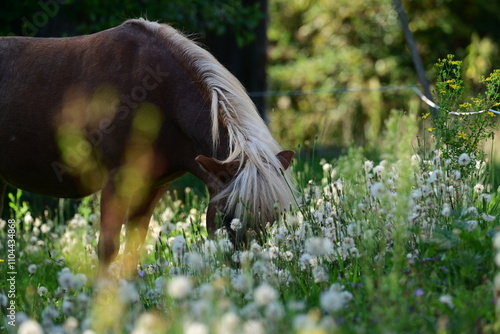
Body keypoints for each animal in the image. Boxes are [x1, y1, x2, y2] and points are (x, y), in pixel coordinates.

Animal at [0, 19, 294, 278]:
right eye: (225, 217)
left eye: (270, 221)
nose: (245, 278)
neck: (159, 96)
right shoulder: (115, 181)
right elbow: (108, 248)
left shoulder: (152, 186)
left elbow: (134, 248)